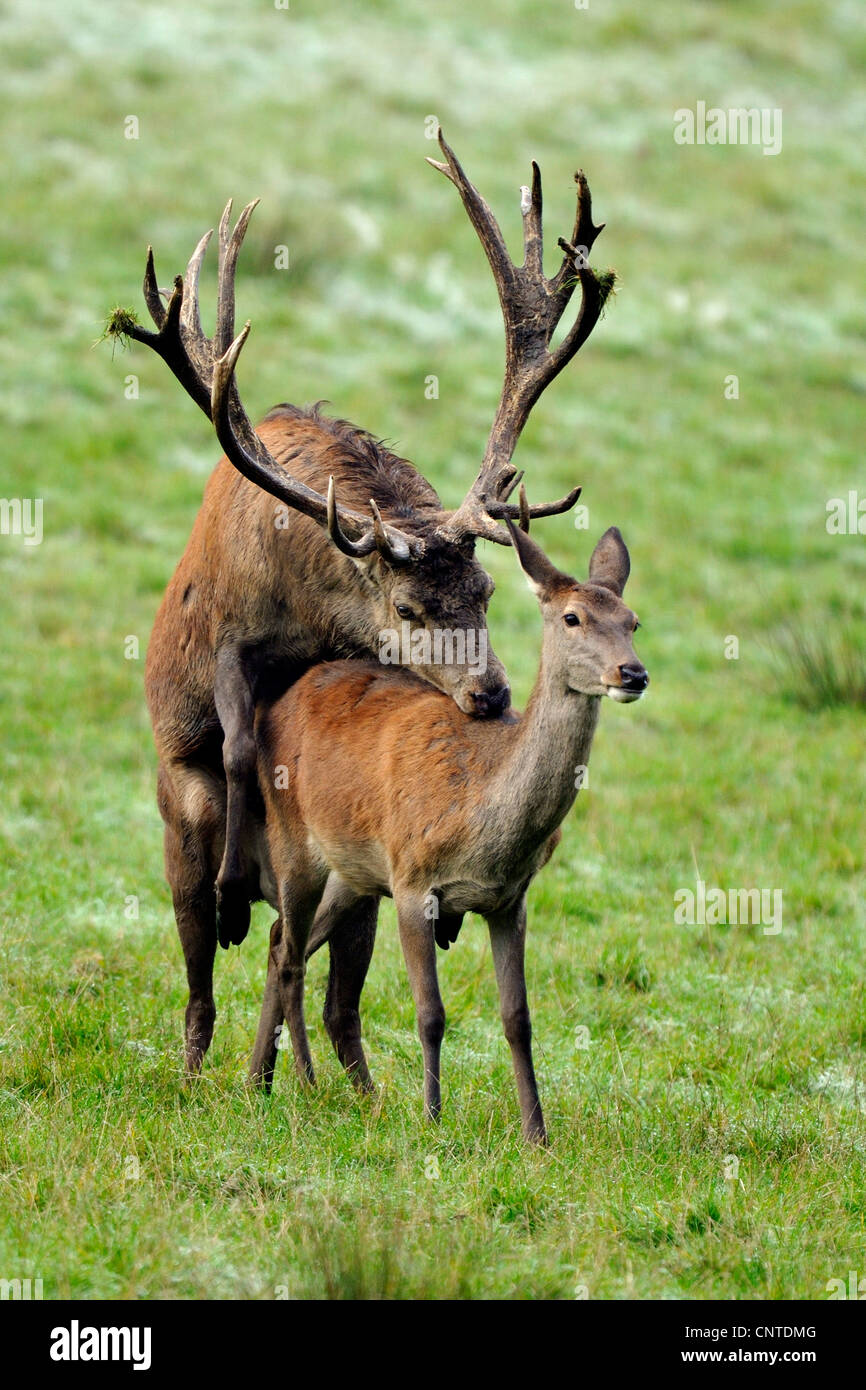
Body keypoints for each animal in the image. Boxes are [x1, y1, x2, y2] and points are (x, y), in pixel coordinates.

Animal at [122, 132, 617, 1073]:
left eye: (488, 590)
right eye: (410, 612)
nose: (493, 693)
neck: (317, 597)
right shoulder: (235, 636)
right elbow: (238, 744)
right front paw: (236, 889)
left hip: (357, 882)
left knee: (336, 990)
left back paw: (353, 1082)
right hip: (178, 816)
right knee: (200, 966)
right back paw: (201, 1047)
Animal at [250, 517, 644, 1145]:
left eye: (633, 621)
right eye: (572, 617)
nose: (633, 672)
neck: (482, 819)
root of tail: (277, 699)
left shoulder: (510, 899)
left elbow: (518, 1018)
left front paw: (536, 1133)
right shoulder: (414, 881)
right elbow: (430, 1013)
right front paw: (433, 1116)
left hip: (354, 872)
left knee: (276, 940)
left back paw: (257, 1079)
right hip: (293, 837)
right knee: (289, 953)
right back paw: (304, 1082)